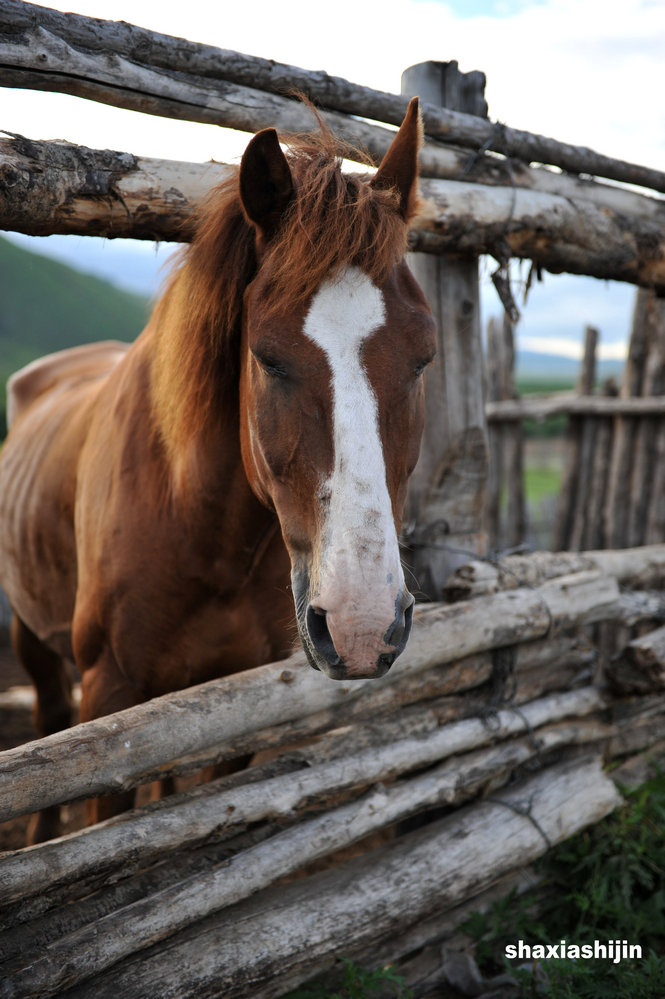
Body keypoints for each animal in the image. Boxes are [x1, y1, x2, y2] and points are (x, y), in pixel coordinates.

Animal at [0, 97, 436, 840]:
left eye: (423, 356)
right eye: (266, 356)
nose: (361, 623)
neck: (203, 534)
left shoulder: (234, 692)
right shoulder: (110, 699)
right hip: (35, 640)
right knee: (49, 725)